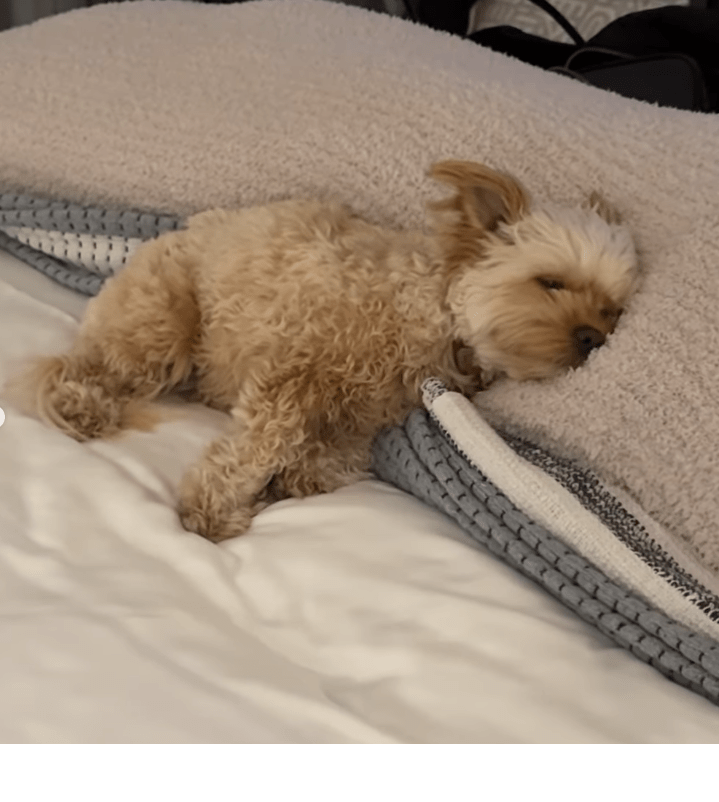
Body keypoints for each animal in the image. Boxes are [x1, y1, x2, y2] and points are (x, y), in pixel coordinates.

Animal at [16, 159, 640, 540]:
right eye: (551, 283)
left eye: (612, 310)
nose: (592, 338)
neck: (431, 317)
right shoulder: (291, 377)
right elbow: (265, 441)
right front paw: (215, 508)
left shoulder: (362, 416)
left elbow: (334, 458)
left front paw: (298, 475)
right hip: (161, 327)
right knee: (86, 366)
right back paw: (81, 405)